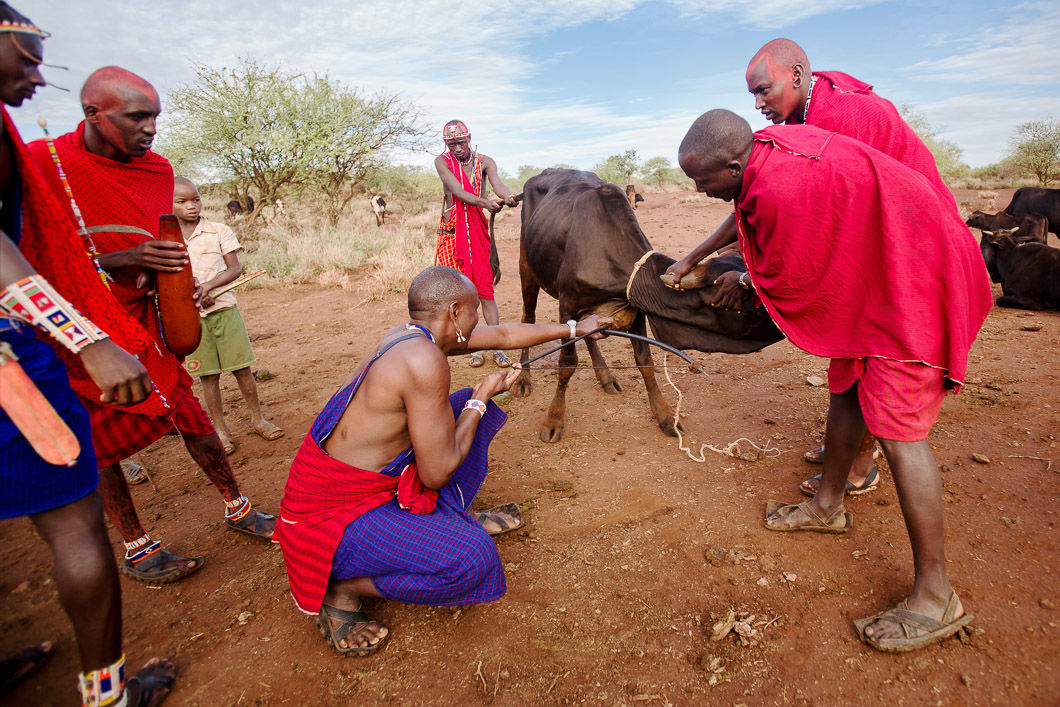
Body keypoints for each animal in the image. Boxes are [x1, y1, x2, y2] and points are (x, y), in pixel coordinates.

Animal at [508, 167, 784, 443]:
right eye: (750, 298)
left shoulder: (636, 306)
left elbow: (644, 361)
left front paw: (666, 417)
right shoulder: (567, 306)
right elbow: (567, 363)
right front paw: (553, 420)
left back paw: (605, 377)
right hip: (526, 267)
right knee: (528, 318)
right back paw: (523, 379)